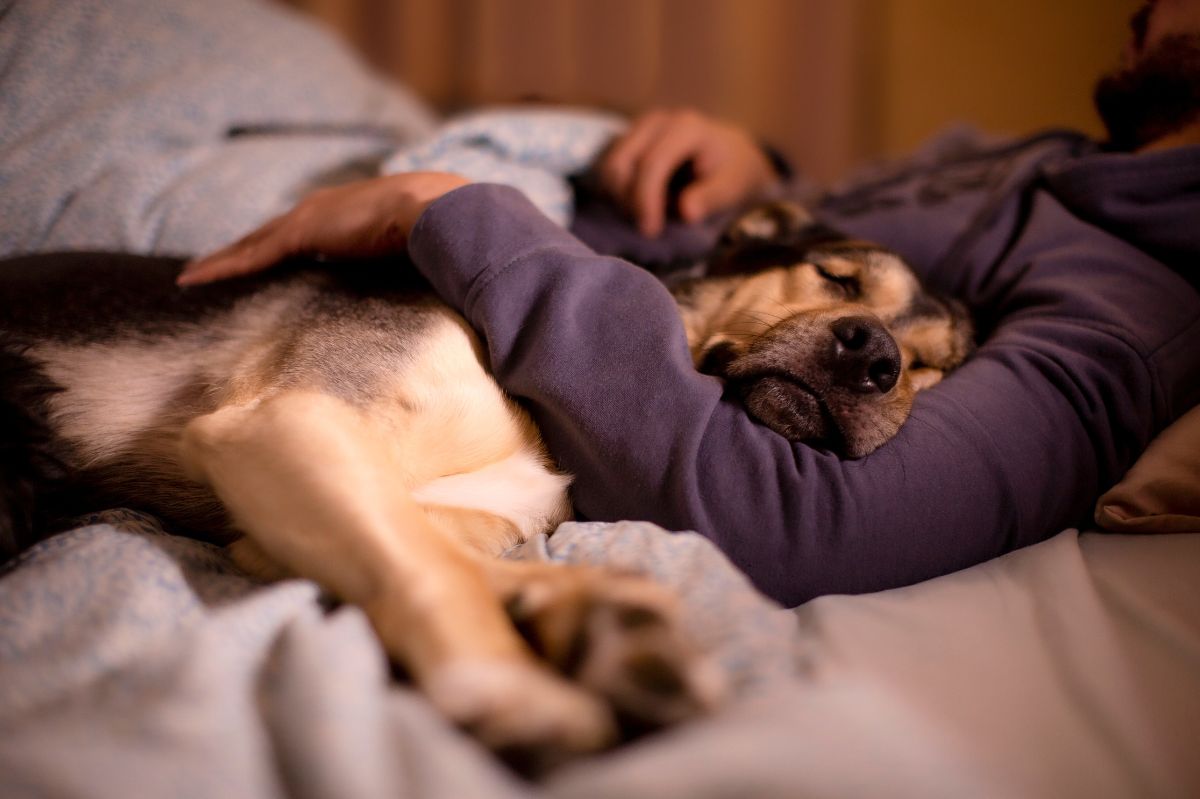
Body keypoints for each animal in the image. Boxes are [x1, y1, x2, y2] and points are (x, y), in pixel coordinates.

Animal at [0, 202, 969, 767]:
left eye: (929, 368)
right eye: (835, 275)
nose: (878, 359)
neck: (542, 414)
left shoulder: (281, 516)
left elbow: (448, 550)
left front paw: (599, 617)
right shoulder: (288, 420)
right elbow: (437, 567)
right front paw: (513, 683)